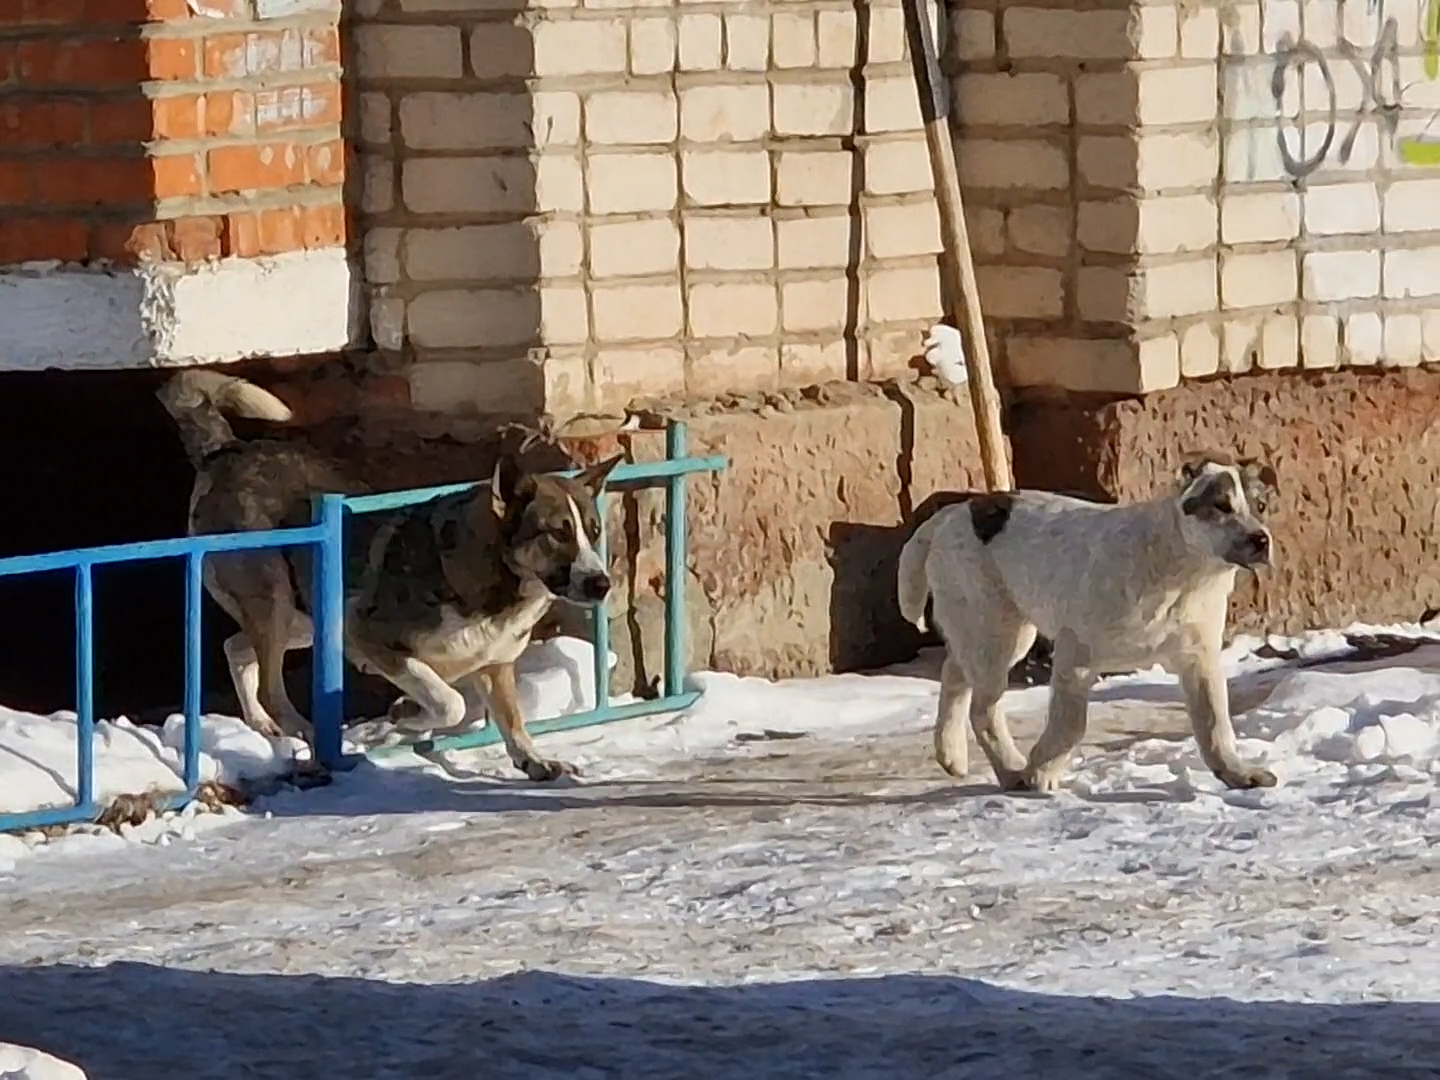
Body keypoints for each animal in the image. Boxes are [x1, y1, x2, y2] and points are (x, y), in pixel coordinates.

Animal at [159, 371, 619, 777]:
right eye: (556, 534)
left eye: (594, 532)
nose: (602, 584)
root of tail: (227, 450)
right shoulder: (370, 638)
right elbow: (449, 701)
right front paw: (407, 715)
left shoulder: (495, 663)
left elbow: (509, 717)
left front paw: (533, 760)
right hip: (278, 601)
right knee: (271, 686)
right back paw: (306, 734)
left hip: (305, 618)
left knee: (236, 648)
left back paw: (263, 724)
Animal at [898, 455, 1284, 794]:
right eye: (1221, 506)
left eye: (1261, 506)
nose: (1261, 539)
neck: (1186, 571)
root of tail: (952, 513)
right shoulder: (1077, 653)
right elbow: (1071, 723)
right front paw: (1041, 772)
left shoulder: (1198, 657)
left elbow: (1215, 722)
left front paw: (1237, 774)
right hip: (994, 629)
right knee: (983, 708)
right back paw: (1011, 771)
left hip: (999, 630)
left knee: (954, 672)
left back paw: (952, 756)